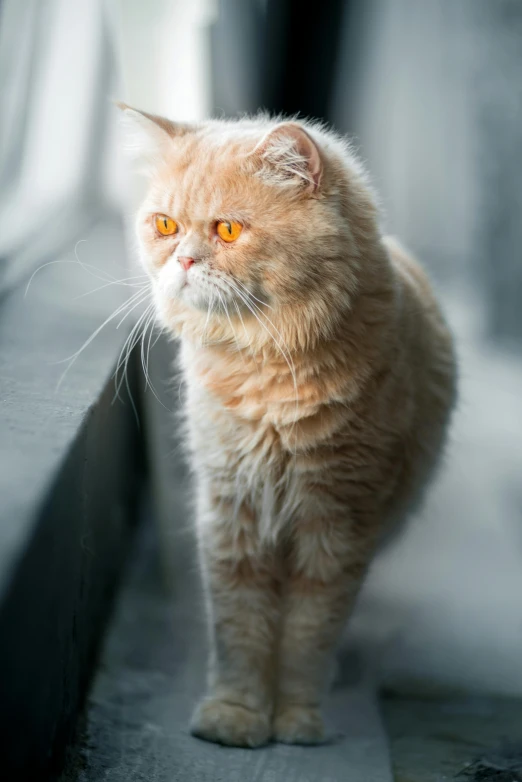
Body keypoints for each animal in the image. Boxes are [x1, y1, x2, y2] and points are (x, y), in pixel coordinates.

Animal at [119, 104, 456, 748]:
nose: (183, 261)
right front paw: (236, 715)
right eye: (166, 225)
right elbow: (242, 627)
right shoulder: (233, 512)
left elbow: (308, 632)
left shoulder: (339, 522)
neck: (265, 376)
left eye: (227, 231)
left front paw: (297, 720)